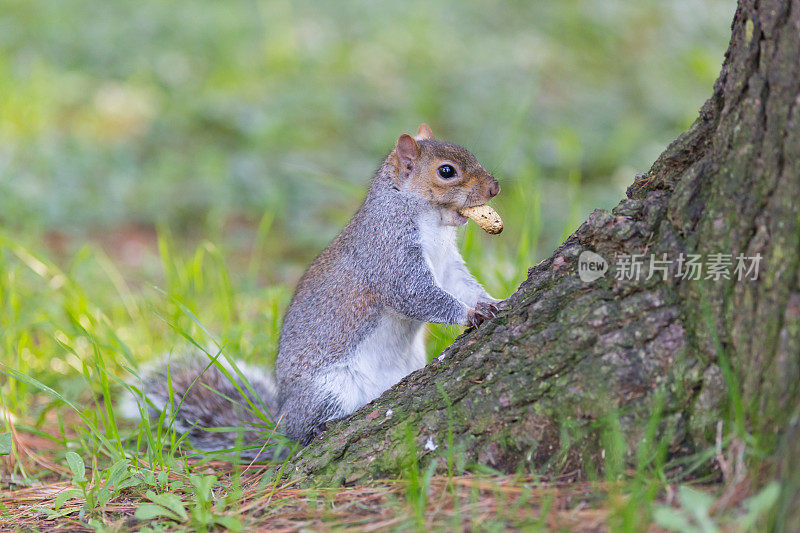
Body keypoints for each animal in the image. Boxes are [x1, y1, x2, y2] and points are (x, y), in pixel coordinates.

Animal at [134, 124, 504, 458]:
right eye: (446, 171)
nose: (495, 188)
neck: (432, 224)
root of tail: (282, 423)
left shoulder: (448, 265)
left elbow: (461, 286)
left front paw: (491, 300)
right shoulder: (388, 254)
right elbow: (416, 295)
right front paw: (470, 313)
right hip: (328, 391)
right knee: (306, 431)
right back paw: (318, 429)